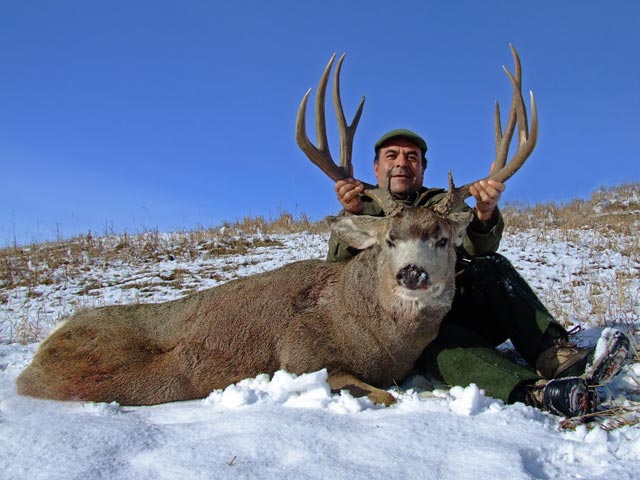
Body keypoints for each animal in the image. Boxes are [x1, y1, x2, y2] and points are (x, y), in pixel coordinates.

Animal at [17, 44, 536, 404]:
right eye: (390, 239)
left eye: (444, 240)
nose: (413, 273)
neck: (379, 338)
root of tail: (42, 349)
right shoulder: (300, 354)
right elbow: (382, 395)